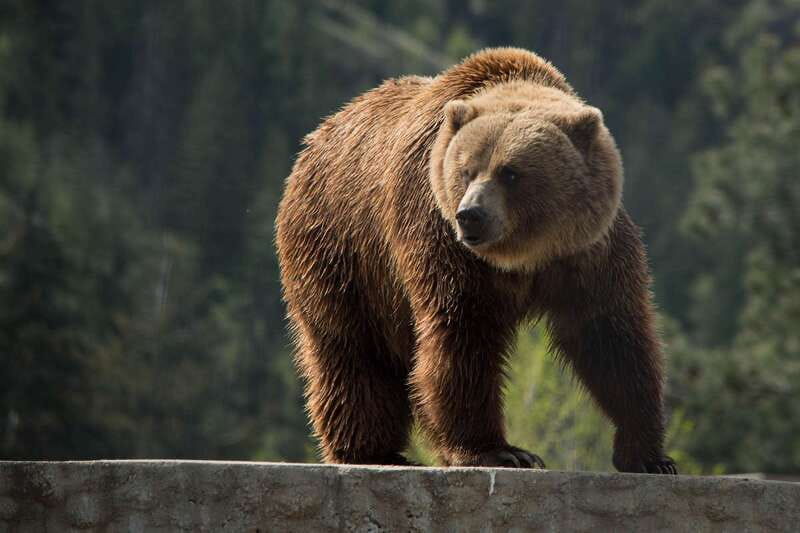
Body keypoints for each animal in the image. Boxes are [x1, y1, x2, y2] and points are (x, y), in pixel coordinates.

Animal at [275, 47, 676, 474]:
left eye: (511, 173)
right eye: (467, 170)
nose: (471, 215)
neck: (524, 255)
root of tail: (317, 137)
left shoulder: (587, 253)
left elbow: (611, 337)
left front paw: (648, 455)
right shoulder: (442, 238)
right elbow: (463, 333)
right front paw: (500, 450)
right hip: (340, 250)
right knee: (352, 350)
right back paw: (373, 451)